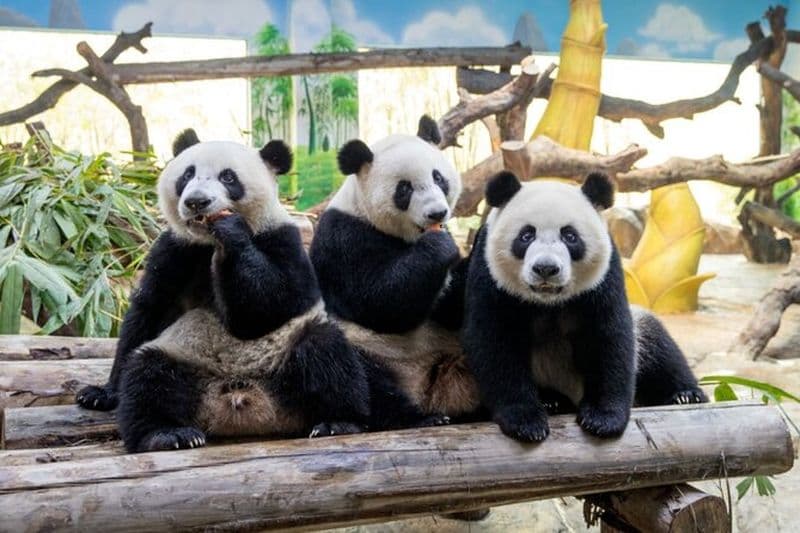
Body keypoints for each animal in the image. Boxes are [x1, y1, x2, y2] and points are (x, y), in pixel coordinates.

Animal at [77, 130, 370, 452]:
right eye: (187, 174)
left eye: (228, 177)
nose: (197, 201)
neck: (207, 241)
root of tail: (240, 398)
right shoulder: (175, 250)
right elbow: (148, 312)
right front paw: (102, 393)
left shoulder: (283, 239)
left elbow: (271, 306)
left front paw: (230, 232)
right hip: (183, 358)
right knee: (148, 375)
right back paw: (167, 434)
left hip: (286, 358)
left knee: (327, 355)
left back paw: (337, 422)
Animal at [309, 116, 481, 429]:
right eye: (404, 189)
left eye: (438, 177)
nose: (437, 213)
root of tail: (429, 391)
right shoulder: (342, 239)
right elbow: (379, 303)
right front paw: (438, 247)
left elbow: (451, 308)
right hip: (372, 349)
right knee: (363, 381)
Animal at [462, 170, 706, 443]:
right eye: (526, 235)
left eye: (570, 236)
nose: (546, 268)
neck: (548, 301)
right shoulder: (488, 274)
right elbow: (495, 342)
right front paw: (526, 422)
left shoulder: (606, 276)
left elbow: (608, 337)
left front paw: (603, 419)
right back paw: (551, 401)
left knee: (656, 343)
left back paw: (685, 395)